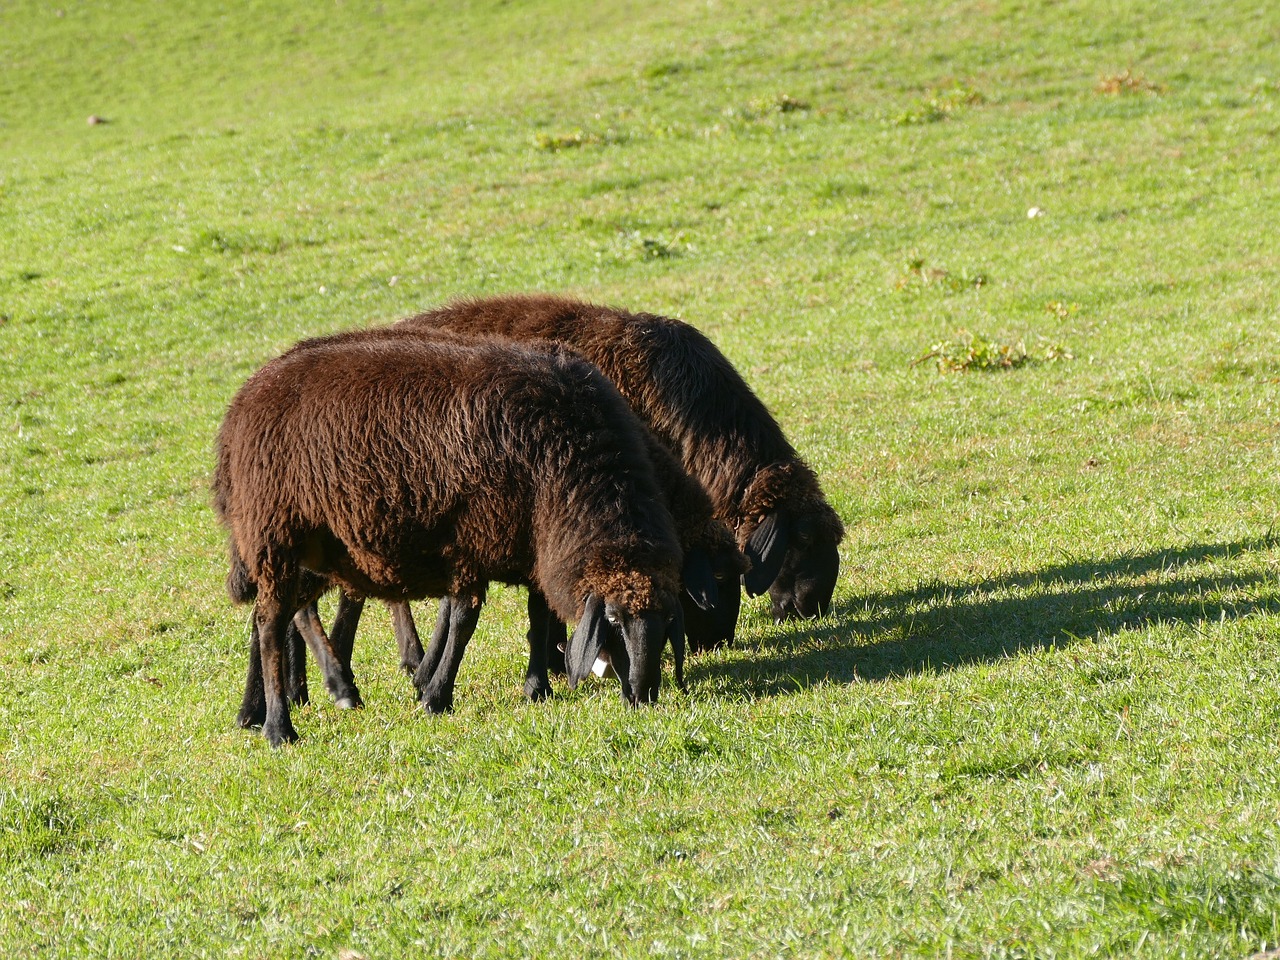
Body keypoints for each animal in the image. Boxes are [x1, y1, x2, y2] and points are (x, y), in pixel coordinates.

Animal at [211, 335, 691, 747]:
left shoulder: (534, 544)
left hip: (309, 549)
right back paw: (282, 727)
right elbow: (463, 623)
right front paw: (436, 696)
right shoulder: (474, 541)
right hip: (276, 535)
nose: (643, 695)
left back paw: (253, 712)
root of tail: (243, 402)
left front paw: (536, 688)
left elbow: (538, 617)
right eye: (611, 620)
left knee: (267, 617)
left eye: (668, 620)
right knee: (271, 624)